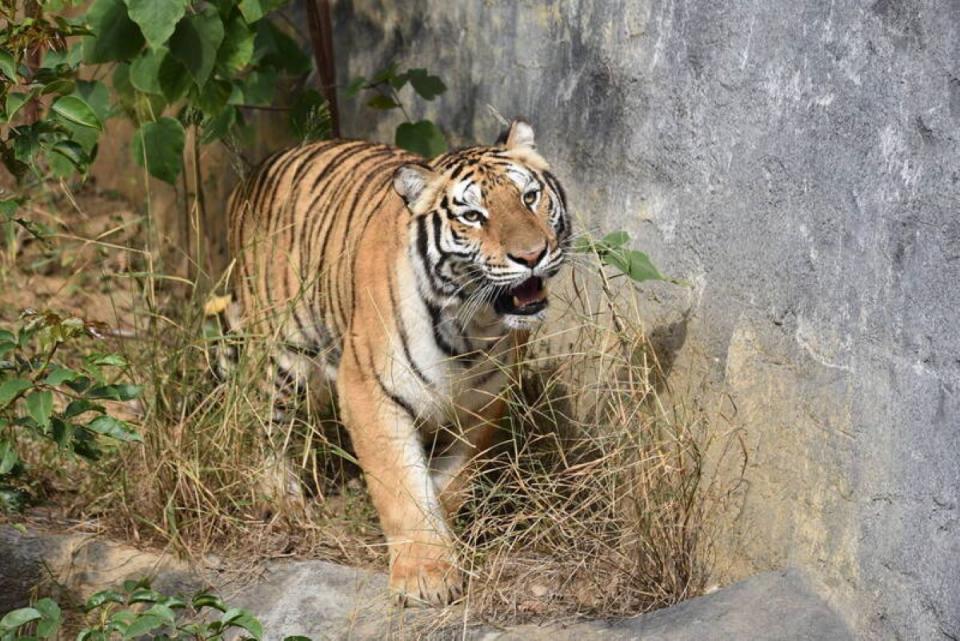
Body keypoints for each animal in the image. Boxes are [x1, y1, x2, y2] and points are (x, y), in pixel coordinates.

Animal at [223, 120, 568, 604]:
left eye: (530, 197)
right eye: (472, 216)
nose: (532, 255)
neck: (470, 323)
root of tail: (256, 172)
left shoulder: (484, 403)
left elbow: (452, 481)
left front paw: (443, 534)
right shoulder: (369, 390)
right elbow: (402, 486)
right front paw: (425, 575)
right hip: (279, 354)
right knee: (266, 428)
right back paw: (282, 502)